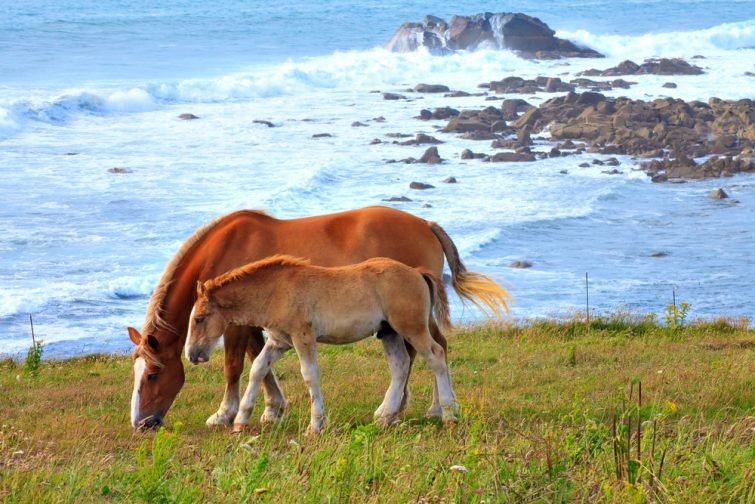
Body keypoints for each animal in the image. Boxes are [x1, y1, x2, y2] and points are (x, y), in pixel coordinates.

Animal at [188, 256, 460, 434]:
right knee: (400, 365)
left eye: (199, 318)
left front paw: (316, 424)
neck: (276, 290)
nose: (192, 355)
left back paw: (448, 414)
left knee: (436, 355)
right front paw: (241, 421)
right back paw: (385, 416)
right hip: (389, 333)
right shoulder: (279, 341)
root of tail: (417, 273)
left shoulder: (303, 337)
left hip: (411, 328)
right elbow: (258, 369)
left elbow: (310, 375)